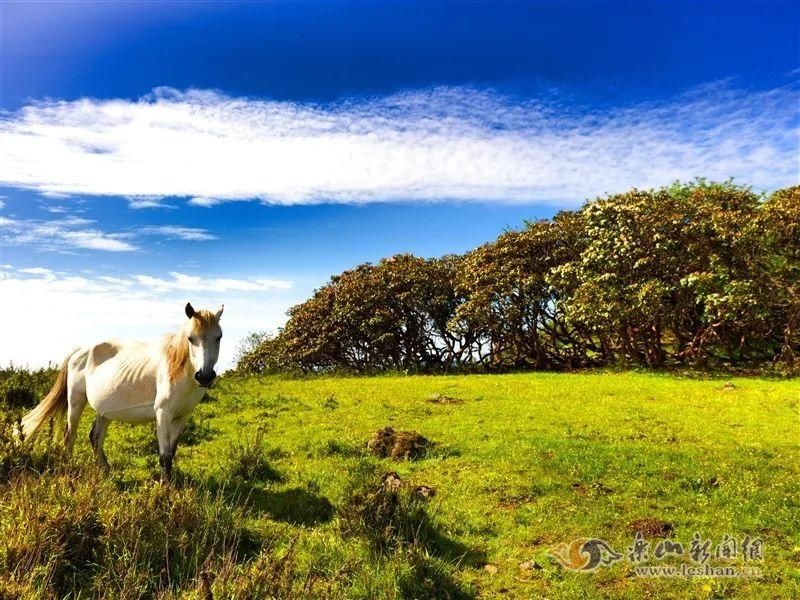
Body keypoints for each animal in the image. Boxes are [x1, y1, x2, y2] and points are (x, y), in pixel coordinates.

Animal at [21, 302, 222, 480]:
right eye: (190, 338)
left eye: (219, 337)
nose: (204, 376)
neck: (179, 371)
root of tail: (79, 351)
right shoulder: (163, 414)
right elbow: (164, 456)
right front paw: (165, 490)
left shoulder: (183, 416)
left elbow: (171, 453)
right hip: (76, 400)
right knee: (70, 435)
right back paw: (70, 469)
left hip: (104, 410)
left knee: (96, 437)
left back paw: (105, 472)